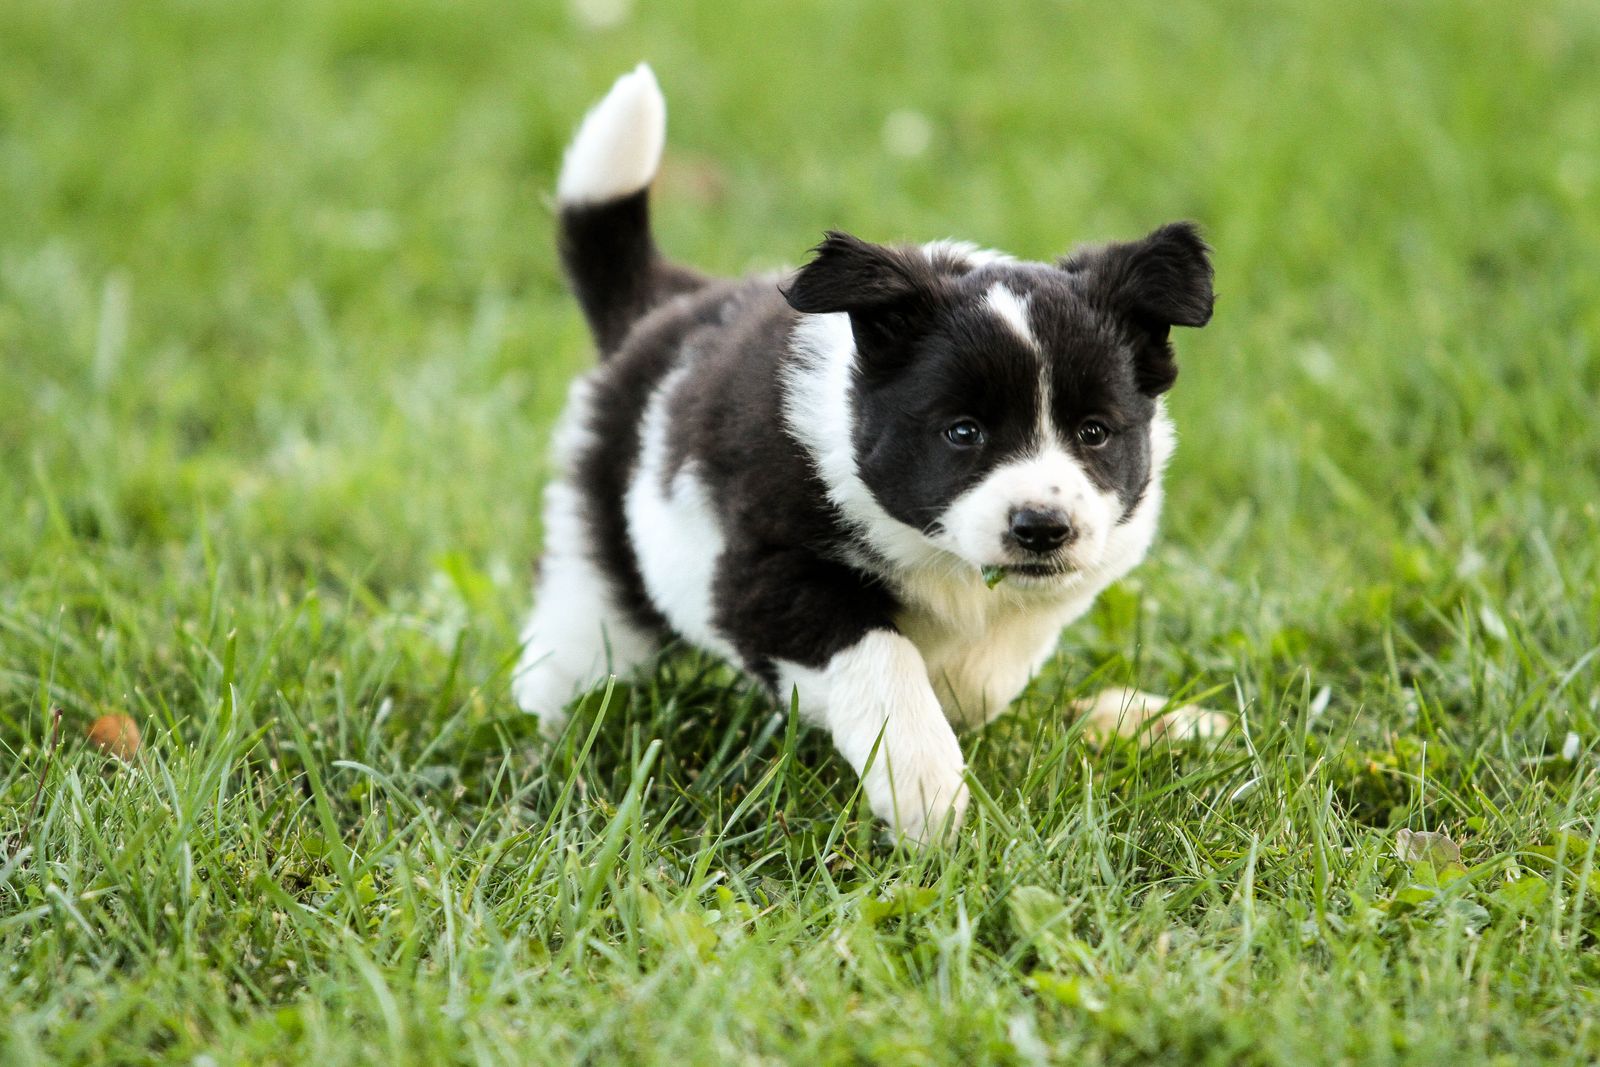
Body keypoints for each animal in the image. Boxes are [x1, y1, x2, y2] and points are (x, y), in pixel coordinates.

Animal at [514, 64, 1221, 842]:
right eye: (962, 432)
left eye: (1094, 432)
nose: (1041, 528)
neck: (937, 552)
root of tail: (663, 306)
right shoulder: (763, 577)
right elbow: (881, 659)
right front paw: (925, 792)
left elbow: (990, 665)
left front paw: (966, 704)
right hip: (600, 567)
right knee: (572, 647)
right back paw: (549, 749)